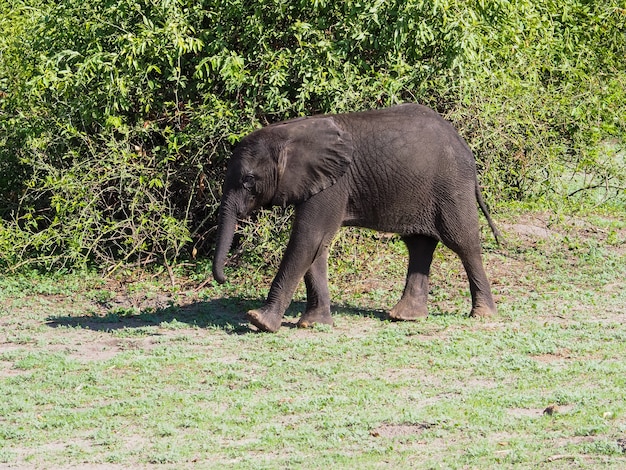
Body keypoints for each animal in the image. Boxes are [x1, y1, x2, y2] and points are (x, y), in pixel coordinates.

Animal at [212, 103, 500, 330]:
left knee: (463, 243)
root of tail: (464, 145)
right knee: (419, 244)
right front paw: (313, 324)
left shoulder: (334, 184)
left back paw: (482, 315)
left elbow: (308, 239)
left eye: (249, 181)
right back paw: (406, 317)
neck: (289, 133)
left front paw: (259, 321)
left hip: (451, 186)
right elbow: (317, 246)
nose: (224, 279)